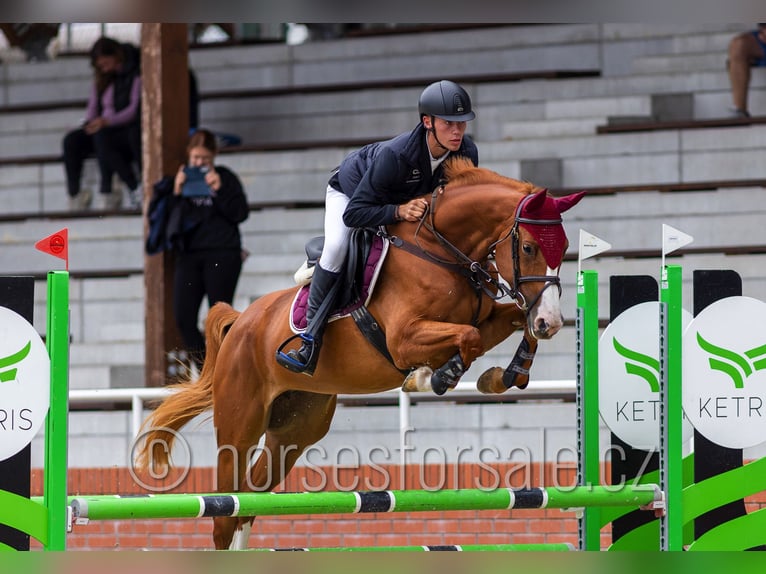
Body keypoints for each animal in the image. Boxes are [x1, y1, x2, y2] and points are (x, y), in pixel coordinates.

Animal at [135, 156, 585, 549]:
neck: (441, 251)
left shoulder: (490, 317)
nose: (553, 321)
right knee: (224, 511)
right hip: (239, 426)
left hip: (293, 430)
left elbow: (509, 323)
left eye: (563, 246)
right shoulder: (403, 339)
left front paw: (505, 375)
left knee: (248, 501)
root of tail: (242, 322)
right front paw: (432, 376)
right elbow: (468, 338)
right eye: (529, 248)